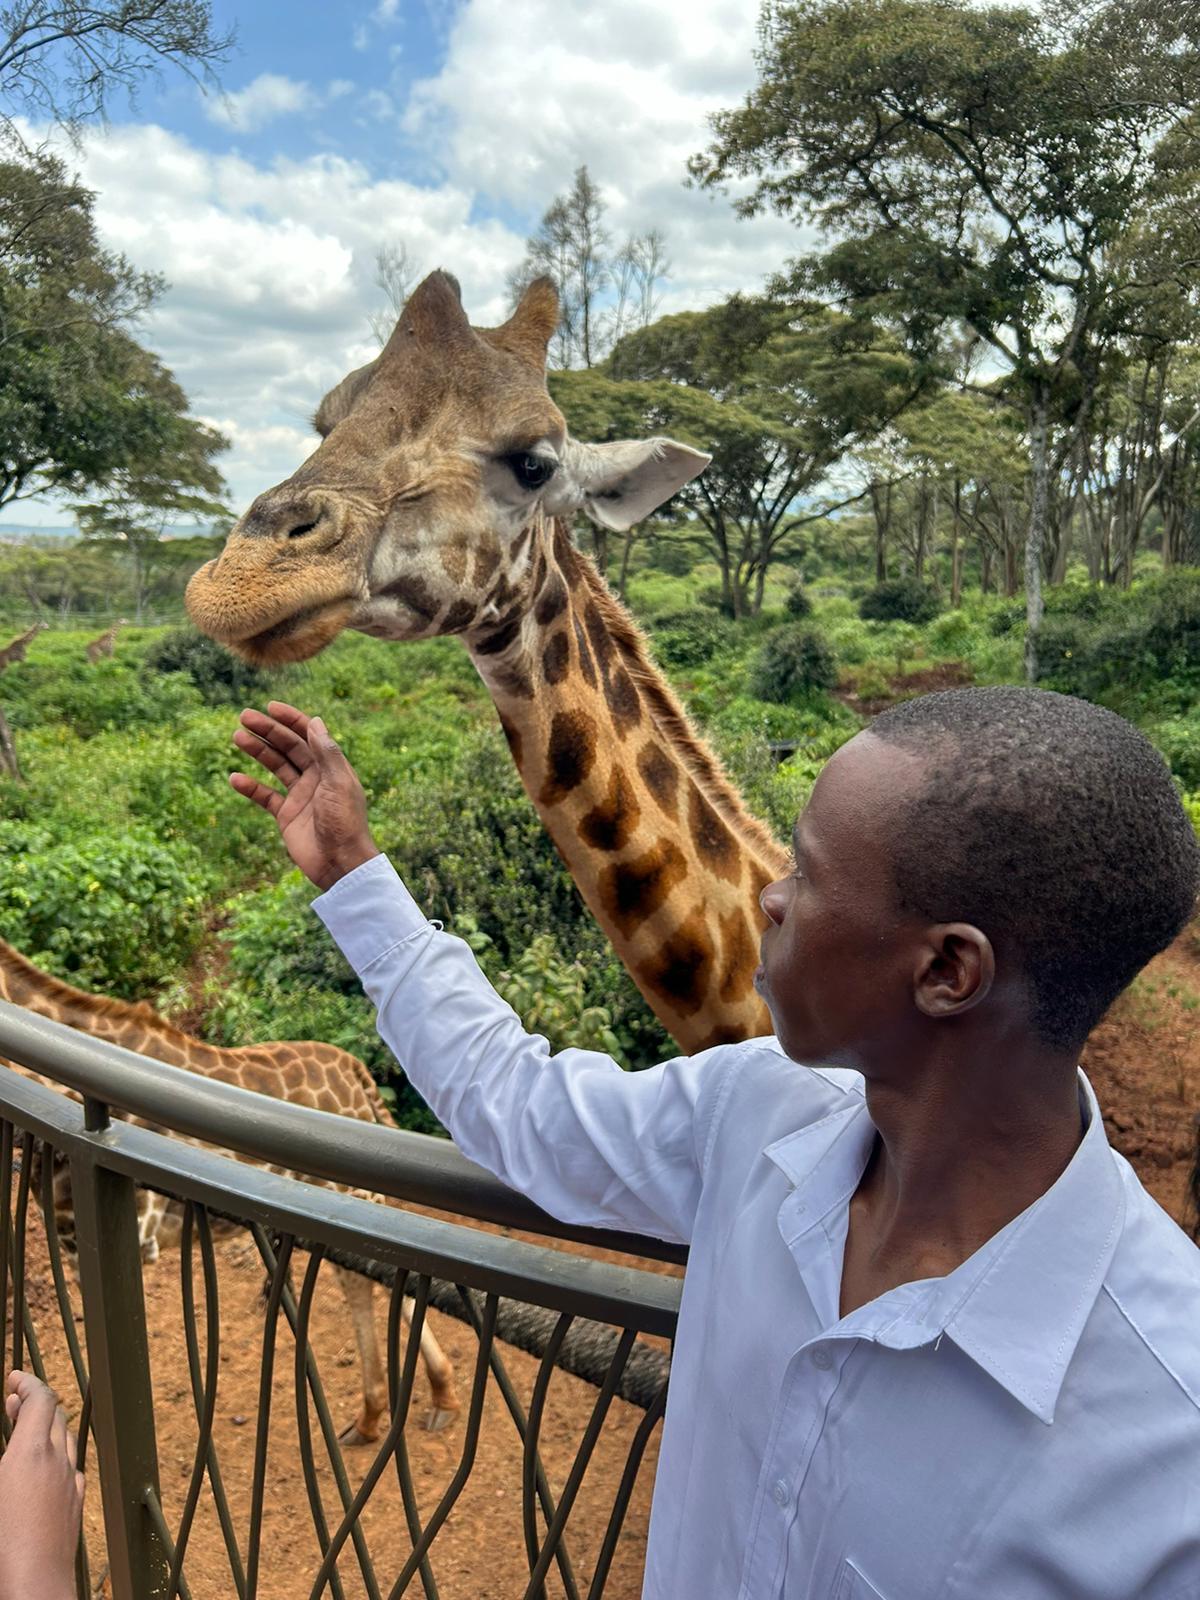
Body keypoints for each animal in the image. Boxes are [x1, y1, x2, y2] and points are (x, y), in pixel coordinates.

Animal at [0, 938, 459, 1440]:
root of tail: (358, 1072)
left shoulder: (122, 1236)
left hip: (348, 1193)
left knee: (378, 1281)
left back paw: (427, 1401)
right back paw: (382, 1413)